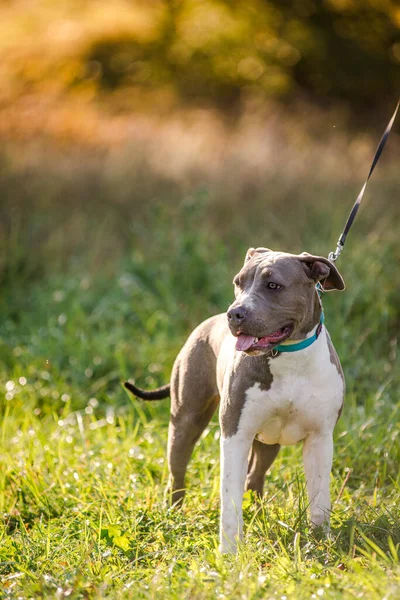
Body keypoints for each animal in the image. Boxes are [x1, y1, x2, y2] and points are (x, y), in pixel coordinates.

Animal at [125, 247, 344, 552]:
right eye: (238, 283)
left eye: (273, 285)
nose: (235, 313)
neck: (289, 357)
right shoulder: (235, 435)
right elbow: (229, 500)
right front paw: (229, 551)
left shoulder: (320, 438)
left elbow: (320, 497)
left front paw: (320, 540)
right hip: (185, 422)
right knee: (176, 473)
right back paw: (174, 514)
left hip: (268, 442)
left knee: (255, 477)